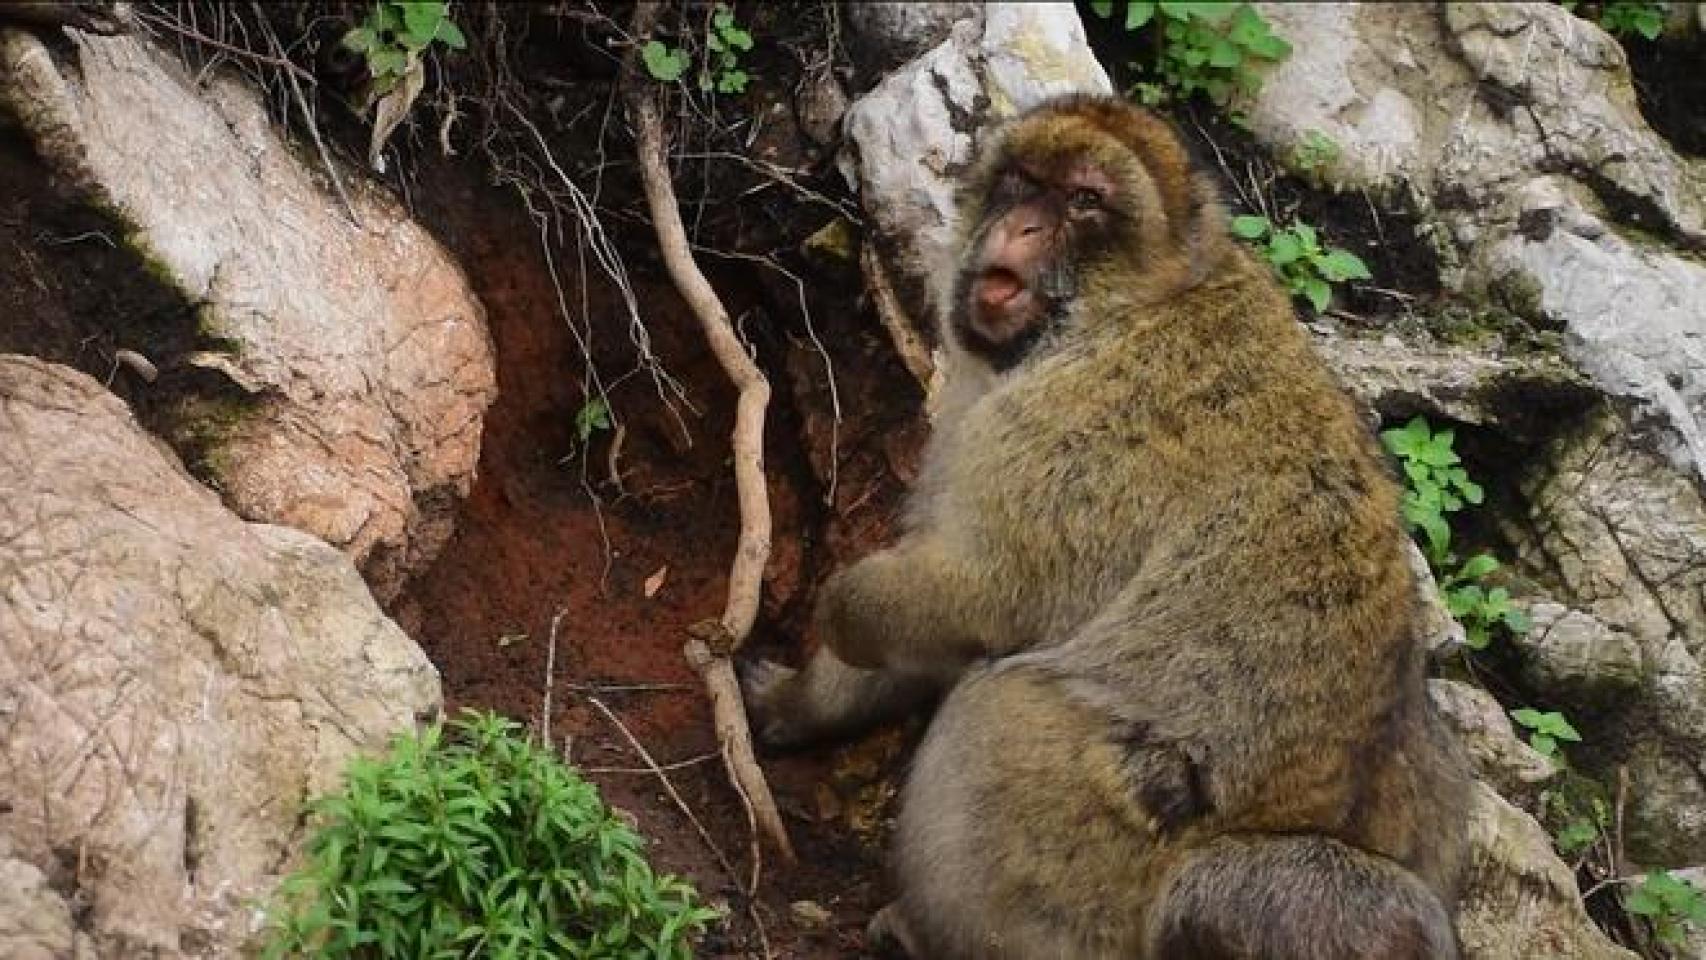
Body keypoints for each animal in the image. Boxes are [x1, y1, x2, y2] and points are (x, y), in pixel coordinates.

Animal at [743, 93, 1472, 960]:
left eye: (1083, 200)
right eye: (1023, 181)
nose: (1021, 226)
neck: (1138, 303)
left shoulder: (1069, 428)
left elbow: (978, 599)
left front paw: (843, 611)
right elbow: (938, 636)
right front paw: (799, 703)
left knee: (1004, 705)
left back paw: (929, 933)